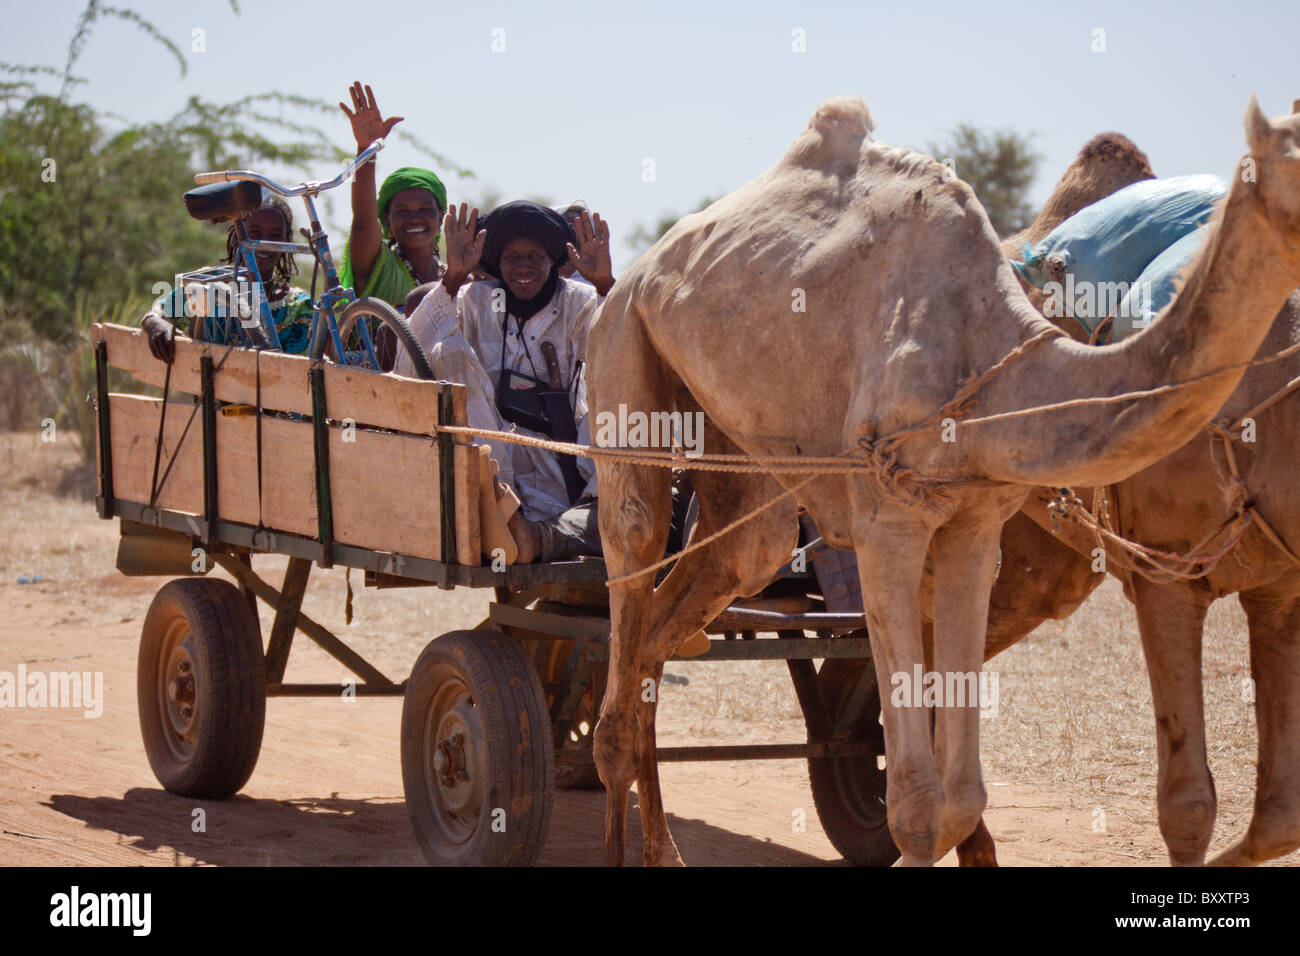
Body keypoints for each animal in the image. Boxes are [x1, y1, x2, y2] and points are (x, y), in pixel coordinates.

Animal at [585, 95, 1300, 868]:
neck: (985, 351)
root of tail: (637, 269)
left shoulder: (976, 521)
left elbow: (959, 800)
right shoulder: (888, 518)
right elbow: (919, 807)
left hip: (740, 459)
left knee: (701, 594)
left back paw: (660, 847)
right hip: (621, 344)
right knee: (632, 543)